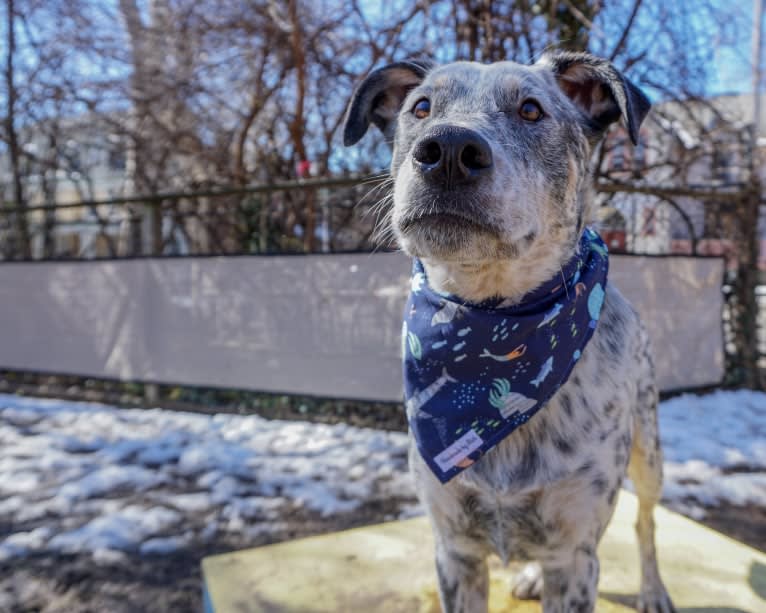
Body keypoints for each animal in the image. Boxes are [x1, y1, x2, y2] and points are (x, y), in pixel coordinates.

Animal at [344, 52, 676, 612]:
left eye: (531, 109)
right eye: (421, 107)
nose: (448, 151)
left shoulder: (576, 553)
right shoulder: (454, 549)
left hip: (648, 451)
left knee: (647, 524)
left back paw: (653, 589)